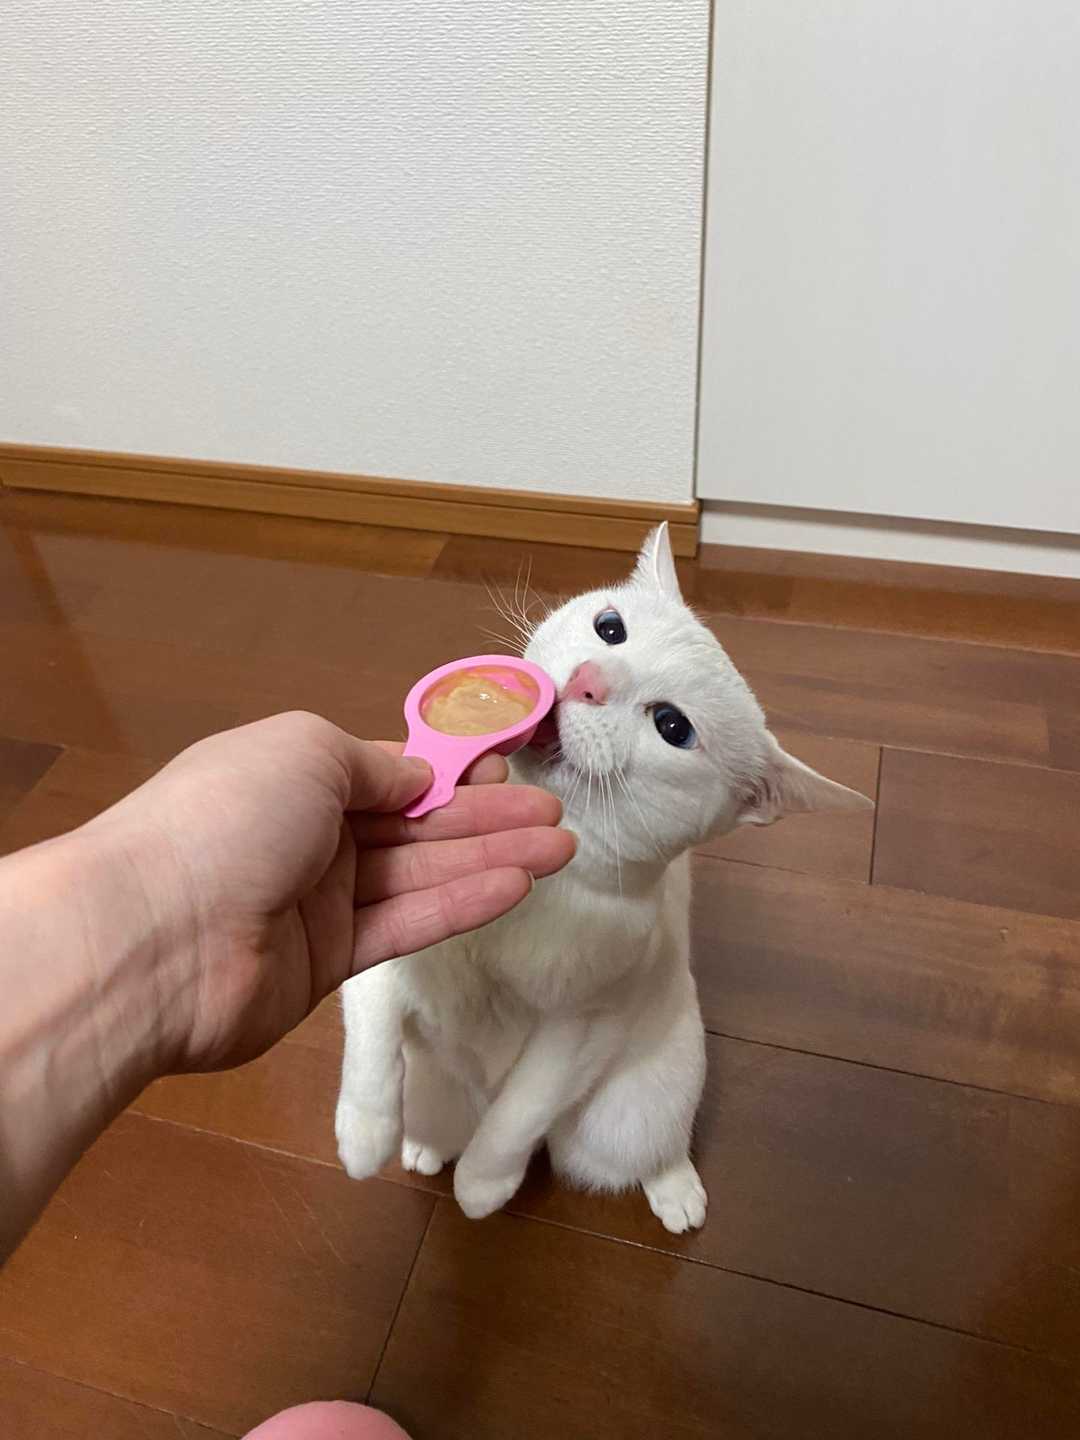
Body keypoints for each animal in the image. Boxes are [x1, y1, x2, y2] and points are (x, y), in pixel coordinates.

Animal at [335, 524, 872, 1232]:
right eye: (609, 627)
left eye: (672, 726)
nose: (590, 680)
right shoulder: (388, 931)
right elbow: (369, 1024)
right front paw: (363, 1133)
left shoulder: (582, 1026)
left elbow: (518, 1114)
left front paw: (484, 1186)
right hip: (435, 1090)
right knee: (441, 1115)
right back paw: (422, 1147)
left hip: (631, 1112)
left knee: (639, 1148)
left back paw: (676, 1193)